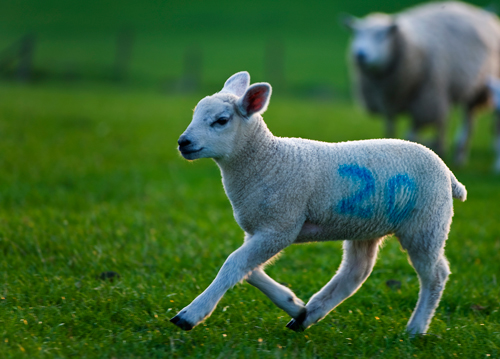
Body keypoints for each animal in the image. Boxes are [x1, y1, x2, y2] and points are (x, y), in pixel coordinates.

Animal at [170, 71, 466, 336]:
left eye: (221, 121)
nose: (183, 142)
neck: (267, 160)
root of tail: (449, 174)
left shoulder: (280, 226)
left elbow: (233, 264)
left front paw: (190, 314)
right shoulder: (262, 229)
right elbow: (248, 270)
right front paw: (293, 304)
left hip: (426, 224)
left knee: (436, 275)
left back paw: (416, 328)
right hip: (367, 225)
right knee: (356, 272)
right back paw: (307, 316)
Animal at [344, 1, 500, 165]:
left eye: (381, 36)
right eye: (355, 34)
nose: (360, 55)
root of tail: (483, 13)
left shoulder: (424, 101)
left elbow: (411, 133)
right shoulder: (388, 104)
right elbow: (390, 129)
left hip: (478, 89)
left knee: (468, 121)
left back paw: (458, 154)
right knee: (446, 121)